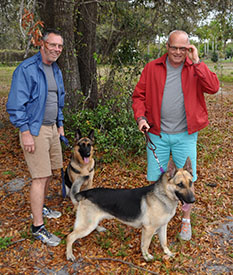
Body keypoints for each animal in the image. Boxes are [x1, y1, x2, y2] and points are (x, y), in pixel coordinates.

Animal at [65, 157, 195, 264]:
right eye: (180, 185)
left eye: (190, 183)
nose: (193, 200)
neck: (163, 195)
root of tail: (84, 192)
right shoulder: (148, 229)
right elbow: (145, 245)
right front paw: (146, 257)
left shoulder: (163, 227)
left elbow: (164, 242)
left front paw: (168, 253)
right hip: (86, 225)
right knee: (70, 237)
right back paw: (69, 255)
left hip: (90, 222)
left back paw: (99, 228)